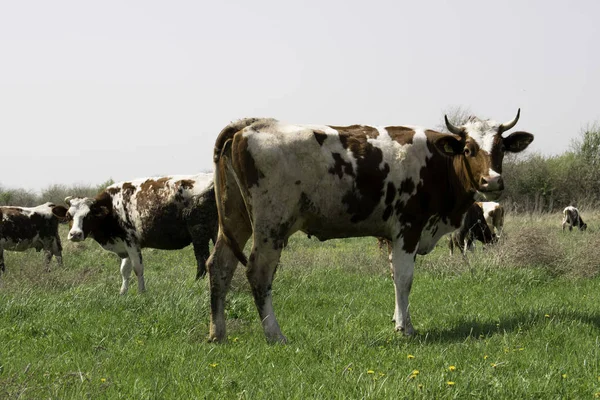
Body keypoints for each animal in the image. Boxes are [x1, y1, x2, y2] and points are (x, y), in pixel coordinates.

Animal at [60, 173, 218, 294]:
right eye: (68, 216)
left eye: (88, 216)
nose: (75, 234)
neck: (111, 207)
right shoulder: (125, 244)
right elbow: (125, 270)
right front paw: (123, 292)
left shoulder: (131, 242)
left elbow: (138, 269)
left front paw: (141, 292)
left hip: (199, 233)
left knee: (202, 260)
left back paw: (197, 284)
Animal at [207, 110, 536, 344]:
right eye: (468, 149)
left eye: (501, 148)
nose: (492, 181)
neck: (438, 162)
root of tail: (250, 125)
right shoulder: (408, 228)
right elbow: (404, 278)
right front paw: (406, 328)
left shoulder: (393, 235)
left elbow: (394, 277)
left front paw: (399, 320)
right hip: (271, 227)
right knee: (258, 273)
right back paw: (275, 335)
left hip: (235, 219)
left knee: (220, 266)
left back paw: (217, 333)